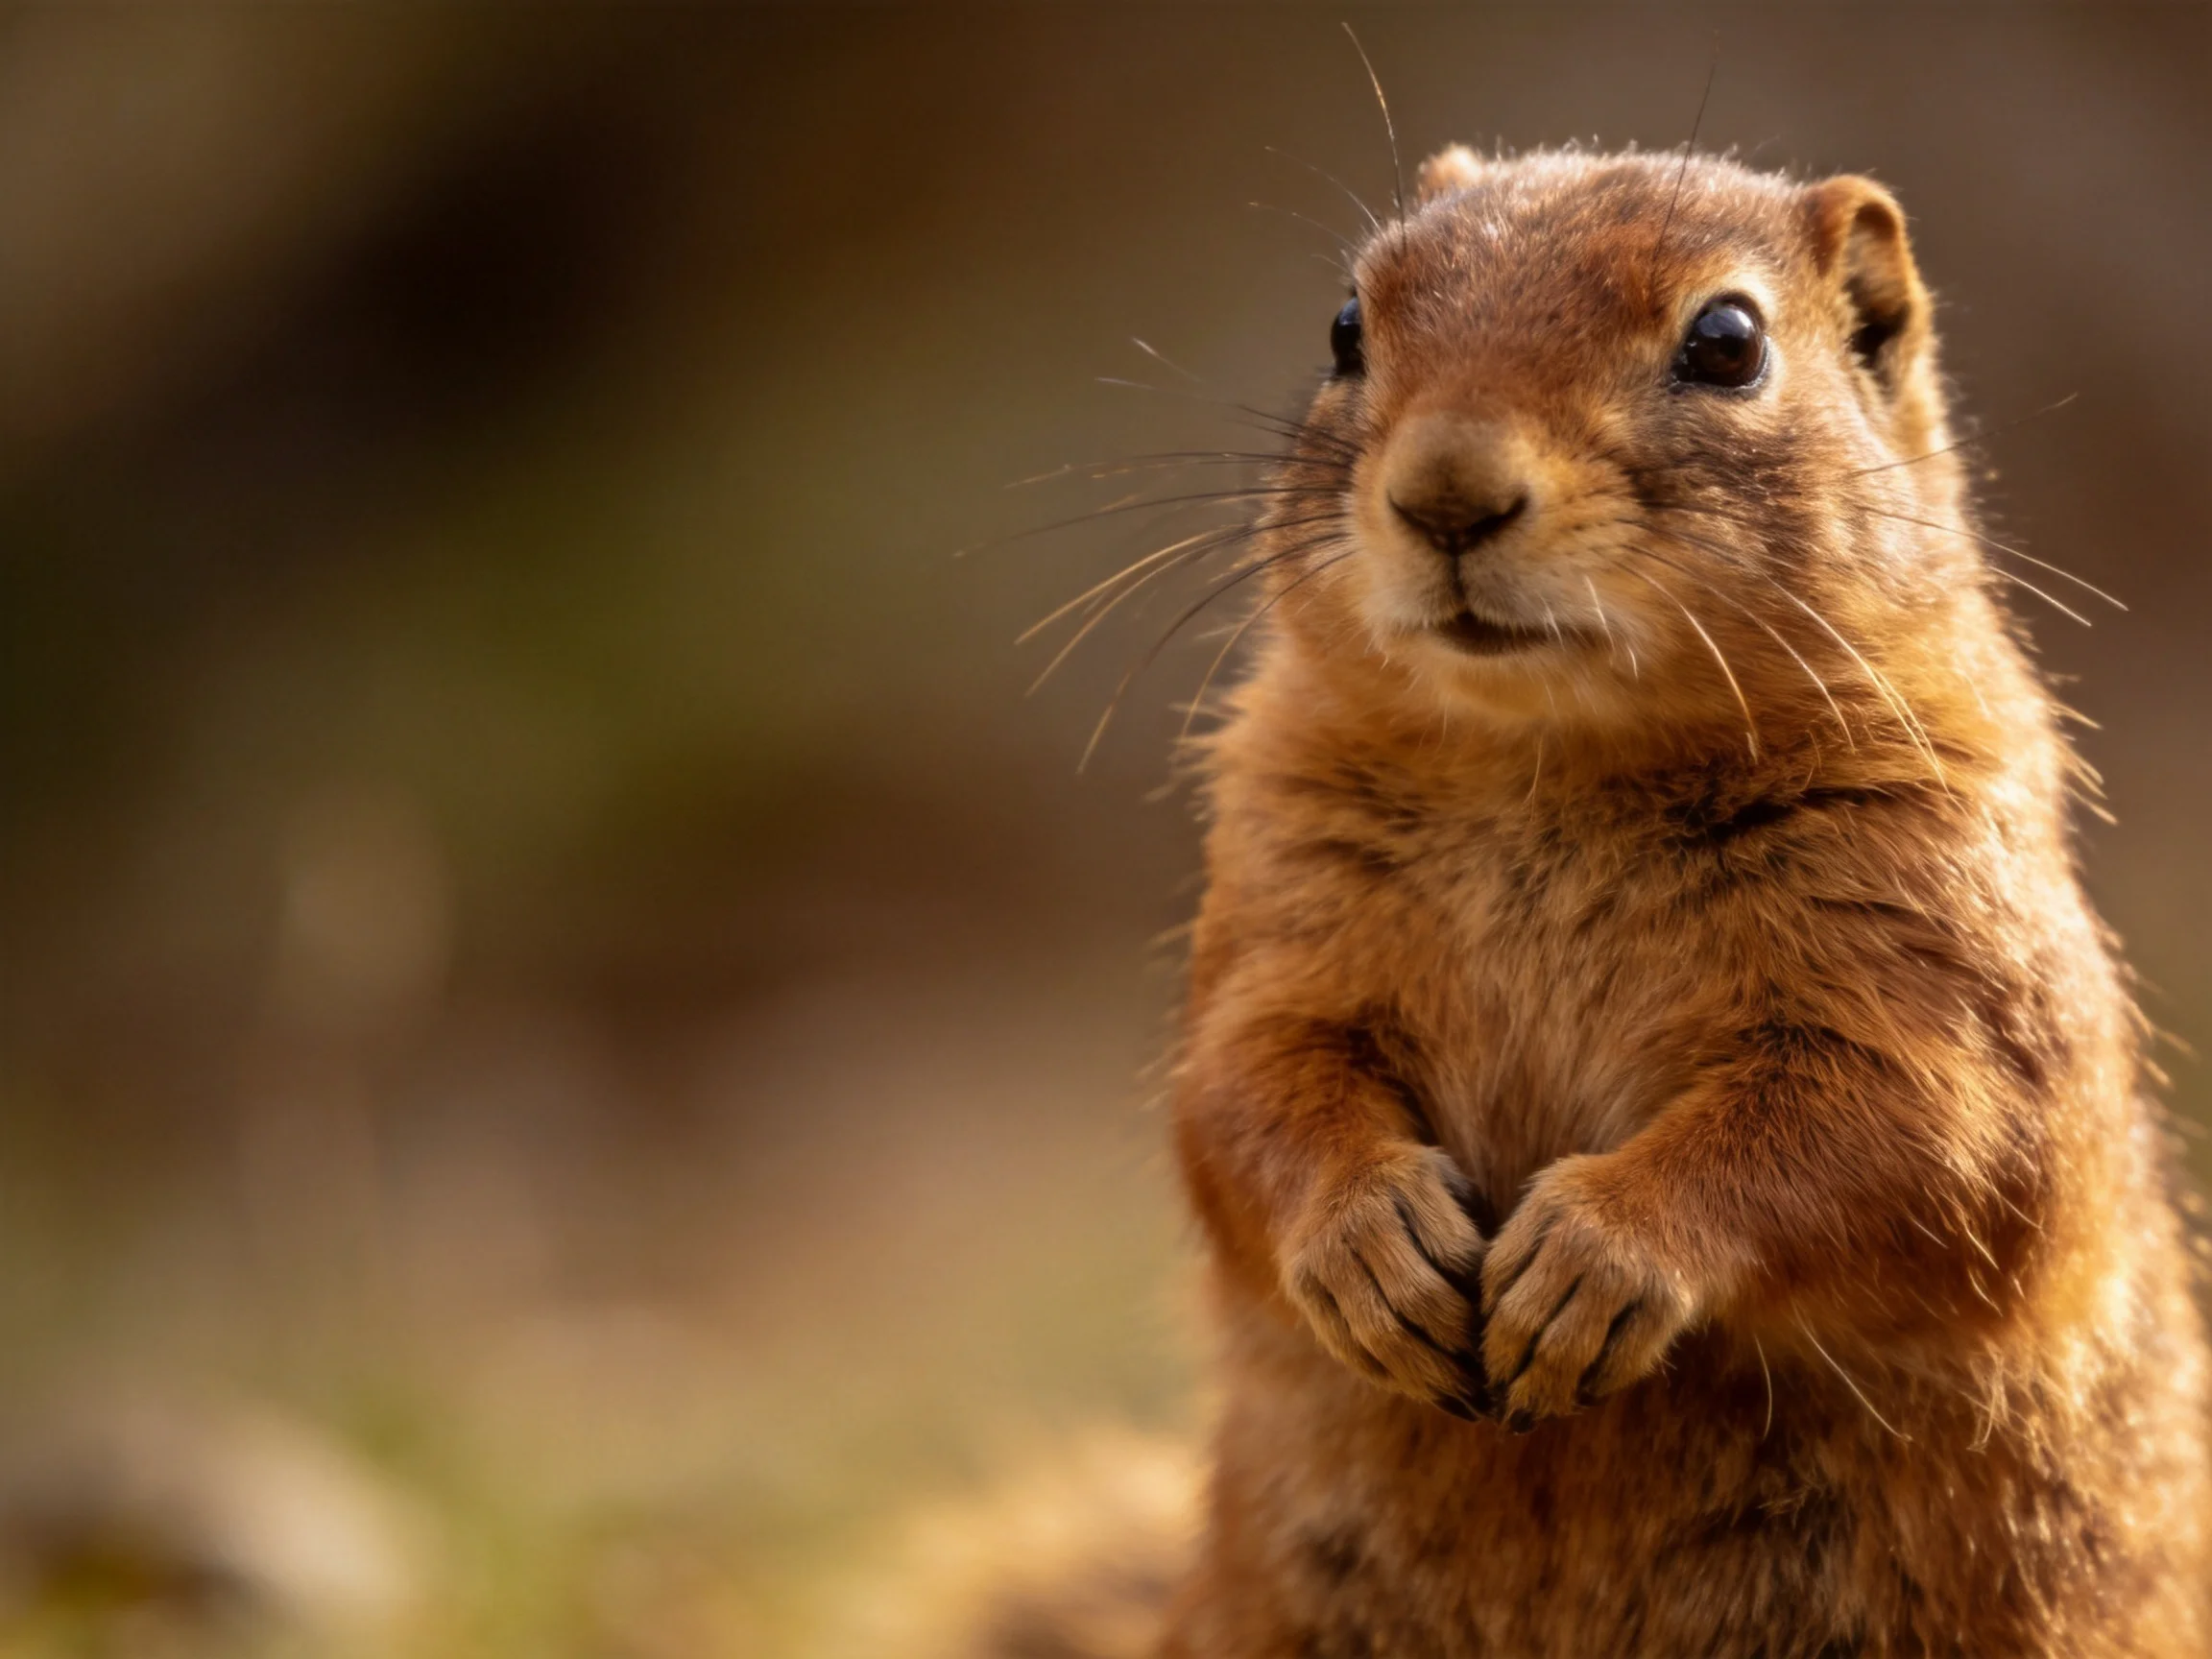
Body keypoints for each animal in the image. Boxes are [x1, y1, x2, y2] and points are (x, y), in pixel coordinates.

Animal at [881, 144, 2210, 1659]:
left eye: (1728, 342)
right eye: (1347, 323)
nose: (1447, 489)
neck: (1547, 761)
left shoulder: (1941, 961)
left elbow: (1923, 1139)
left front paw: (1598, 1256)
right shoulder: (1280, 915)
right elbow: (1237, 1094)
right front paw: (1367, 1242)